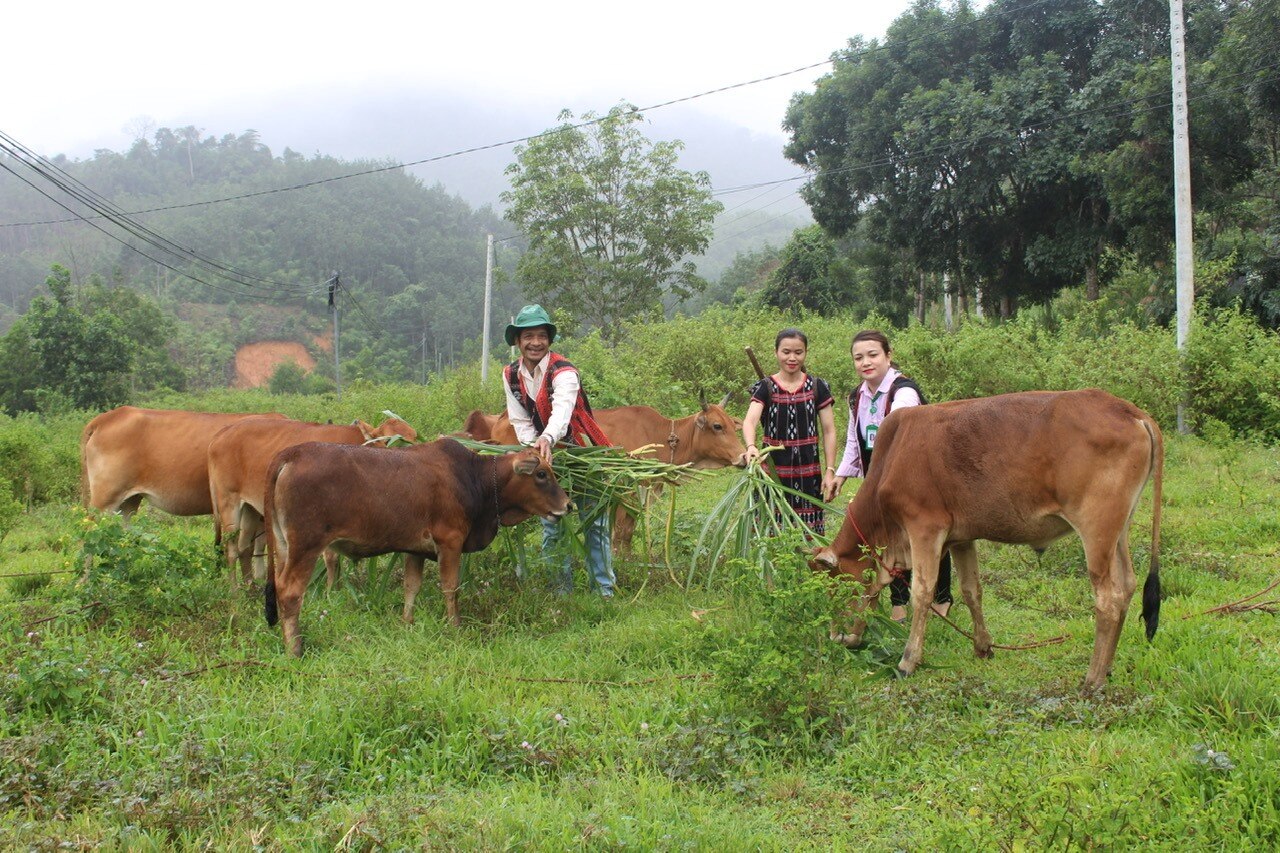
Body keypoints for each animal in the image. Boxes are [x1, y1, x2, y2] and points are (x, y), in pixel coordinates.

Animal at [204, 412, 414, 584]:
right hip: (228, 503)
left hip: (250, 508)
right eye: (388, 440)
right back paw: (234, 593)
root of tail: (220, 435)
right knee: (231, 550)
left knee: (244, 548)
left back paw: (250, 588)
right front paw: (332, 592)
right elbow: (331, 558)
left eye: (413, 438)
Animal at [264, 435, 570, 653]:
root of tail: (291, 454)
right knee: (290, 592)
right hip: (305, 547)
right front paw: (455, 625)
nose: (568, 505)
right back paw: (295, 648)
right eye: (542, 474)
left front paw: (407, 623)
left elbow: (411, 587)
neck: (473, 477)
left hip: (283, 546)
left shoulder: (415, 550)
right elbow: (450, 588)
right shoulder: (450, 543)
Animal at [814, 389, 1167, 686]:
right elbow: (972, 591)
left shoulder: (924, 527)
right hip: (1119, 530)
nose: (835, 637)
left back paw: (1092, 679)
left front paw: (908, 661)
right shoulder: (960, 538)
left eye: (834, 589)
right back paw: (1106, 668)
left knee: (1108, 598)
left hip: (1096, 529)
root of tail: (1130, 411)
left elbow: (923, 593)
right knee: (1127, 587)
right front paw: (983, 646)